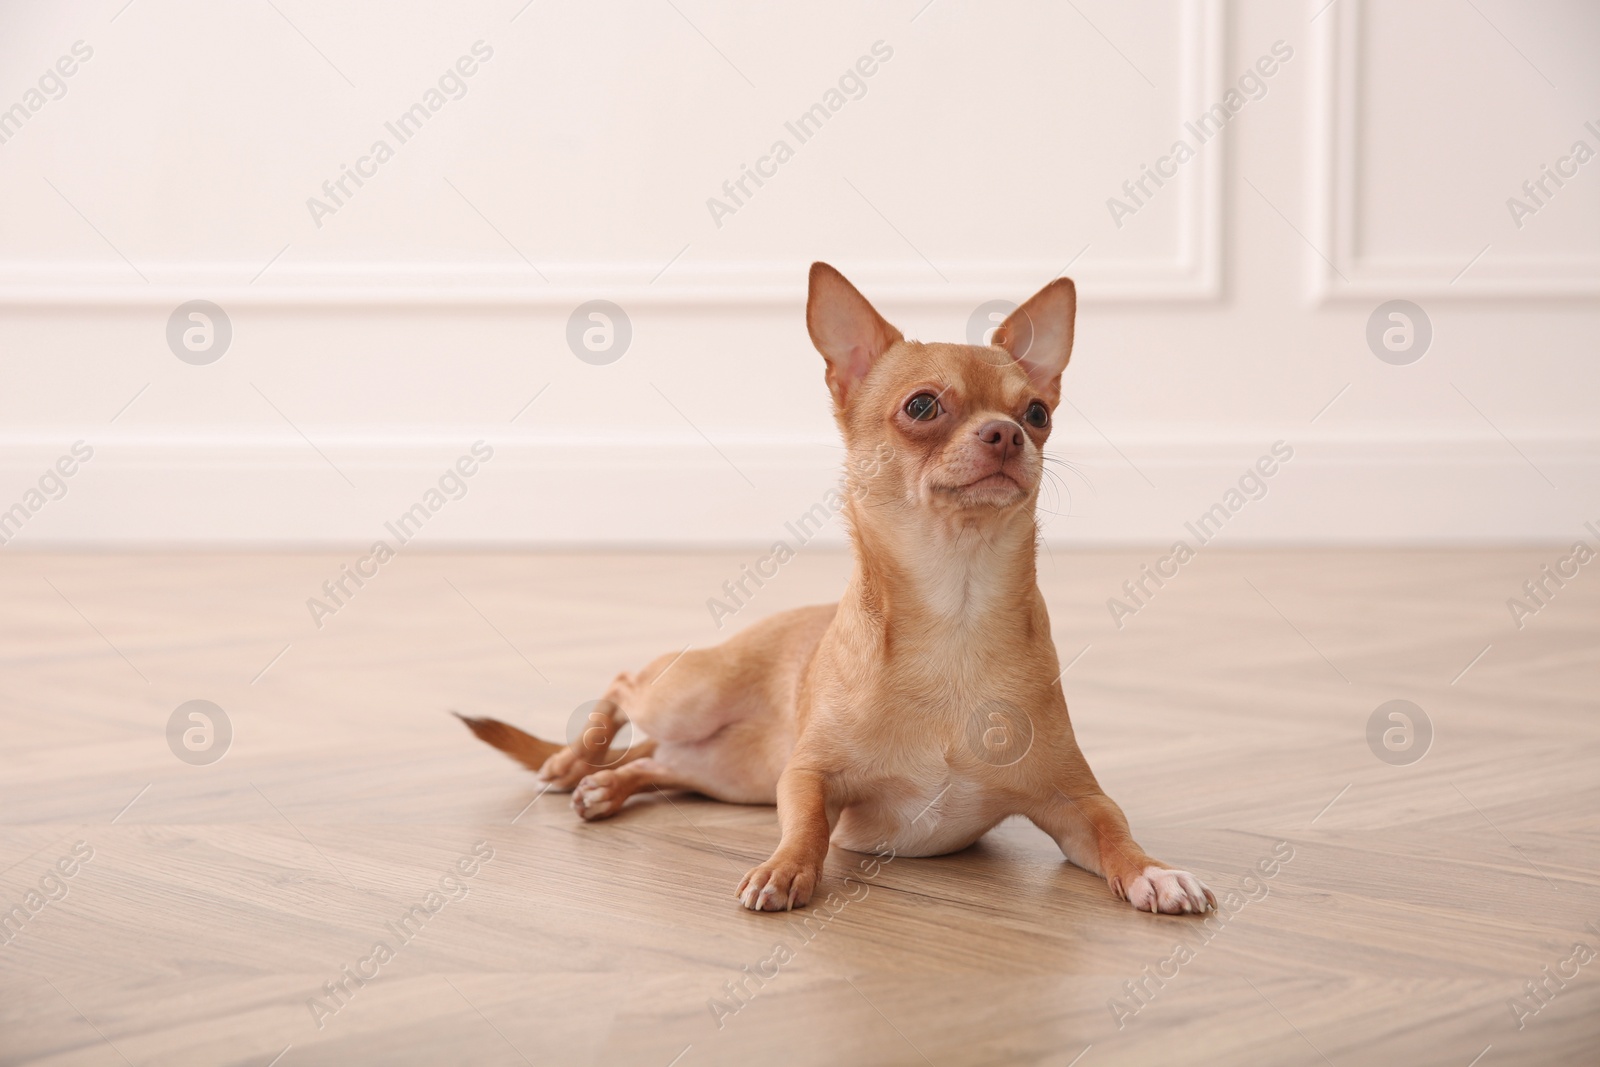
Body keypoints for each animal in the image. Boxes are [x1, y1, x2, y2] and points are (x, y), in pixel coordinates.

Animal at [460, 265, 1209, 921]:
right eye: (922, 405)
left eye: (1037, 412)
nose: (1007, 433)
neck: (957, 608)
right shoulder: (807, 777)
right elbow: (808, 827)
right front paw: (783, 869)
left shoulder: (1076, 800)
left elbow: (1117, 834)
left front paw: (1157, 873)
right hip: (692, 697)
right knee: (622, 688)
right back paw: (572, 761)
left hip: (732, 778)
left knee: (656, 763)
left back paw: (606, 785)